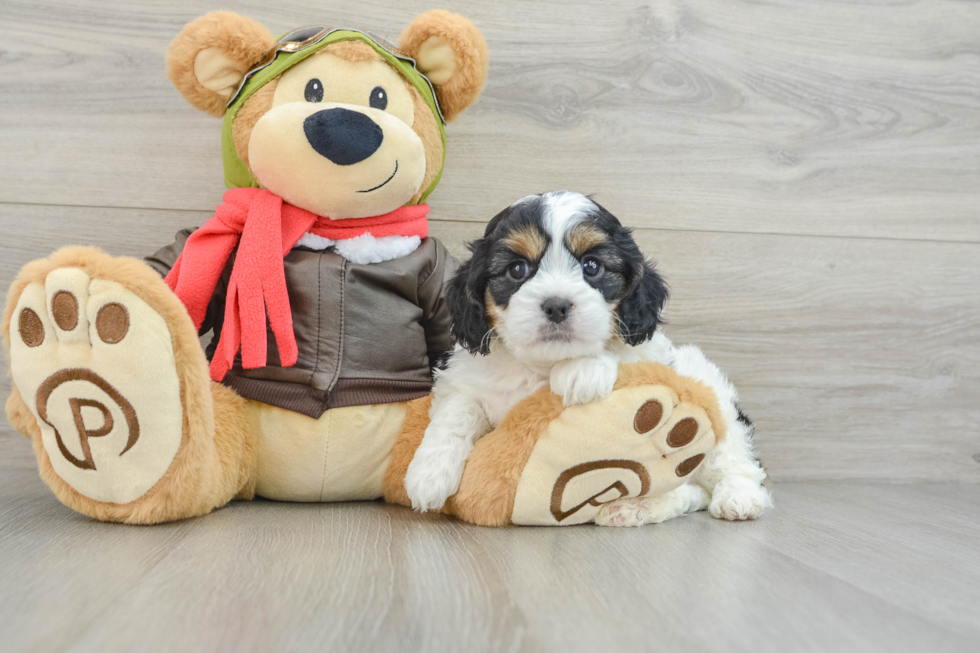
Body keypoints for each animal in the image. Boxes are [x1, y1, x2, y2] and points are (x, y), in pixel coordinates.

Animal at [406, 190, 772, 524]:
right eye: (517, 269)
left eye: (592, 266)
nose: (556, 305)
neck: (544, 365)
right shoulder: (466, 379)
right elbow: (457, 411)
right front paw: (428, 473)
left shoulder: (649, 355)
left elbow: (623, 357)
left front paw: (582, 370)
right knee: (689, 493)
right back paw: (634, 508)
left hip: (717, 403)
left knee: (735, 465)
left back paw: (738, 498)